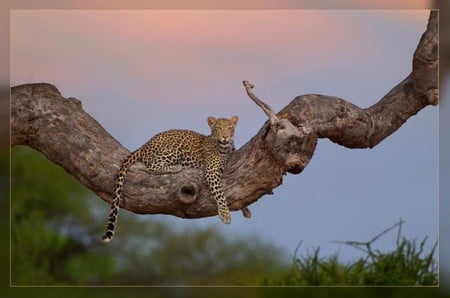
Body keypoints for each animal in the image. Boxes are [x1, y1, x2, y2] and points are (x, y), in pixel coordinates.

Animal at [100, 115, 239, 243]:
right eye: (218, 128)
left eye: (230, 128)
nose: (225, 137)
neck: (225, 147)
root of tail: (145, 145)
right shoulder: (211, 170)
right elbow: (219, 193)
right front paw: (225, 215)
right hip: (174, 148)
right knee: (152, 166)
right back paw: (176, 167)